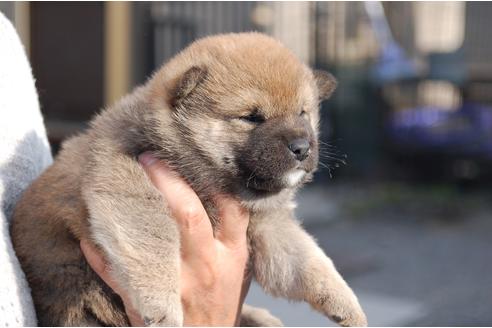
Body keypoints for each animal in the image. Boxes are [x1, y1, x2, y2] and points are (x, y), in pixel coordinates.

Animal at [10, 32, 366, 326]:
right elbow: (154, 236)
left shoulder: (268, 226)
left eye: (303, 113)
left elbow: (306, 258)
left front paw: (345, 302)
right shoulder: (125, 179)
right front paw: (160, 306)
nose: (302, 148)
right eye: (252, 117)